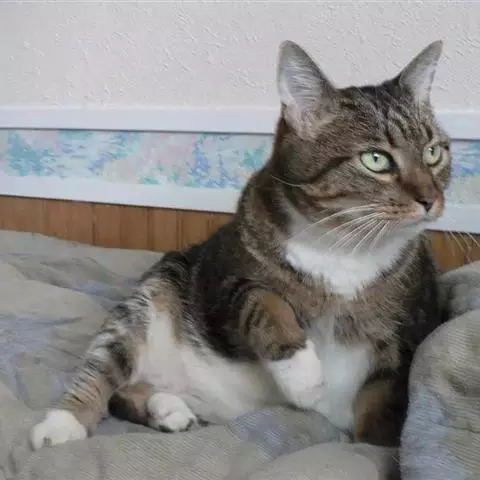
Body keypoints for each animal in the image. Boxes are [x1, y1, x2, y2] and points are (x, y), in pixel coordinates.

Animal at [31, 39, 451, 450]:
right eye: (376, 159)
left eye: (434, 152)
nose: (430, 199)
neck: (343, 246)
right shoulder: (219, 284)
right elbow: (263, 300)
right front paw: (303, 376)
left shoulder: (410, 326)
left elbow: (384, 400)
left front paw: (376, 446)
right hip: (152, 292)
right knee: (105, 368)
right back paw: (65, 424)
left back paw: (170, 409)